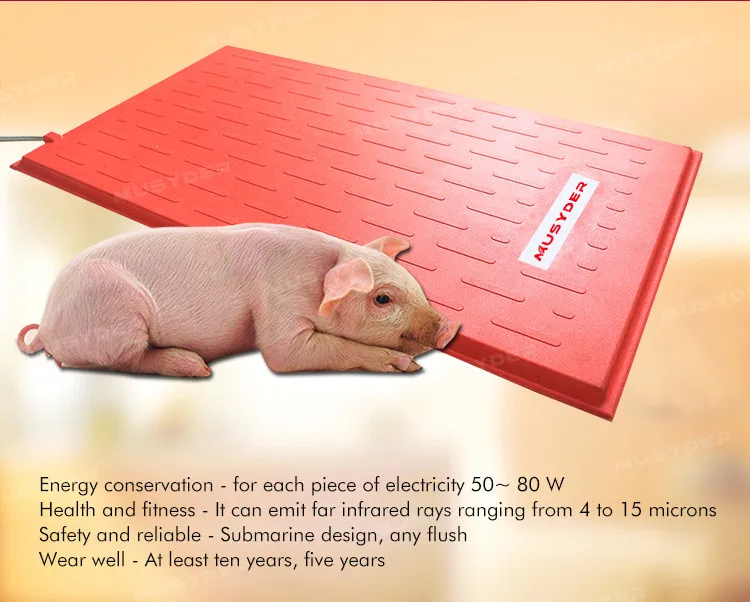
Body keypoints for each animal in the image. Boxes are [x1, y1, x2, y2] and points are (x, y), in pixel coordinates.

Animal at [16, 223, 460, 376]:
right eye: (382, 298)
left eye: (416, 284)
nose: (448, 328)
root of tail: (47, 327)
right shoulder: (275, 305)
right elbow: (284, 353)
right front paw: (403, 366)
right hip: (118, 314)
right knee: (124, 361)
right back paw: (196, 367)